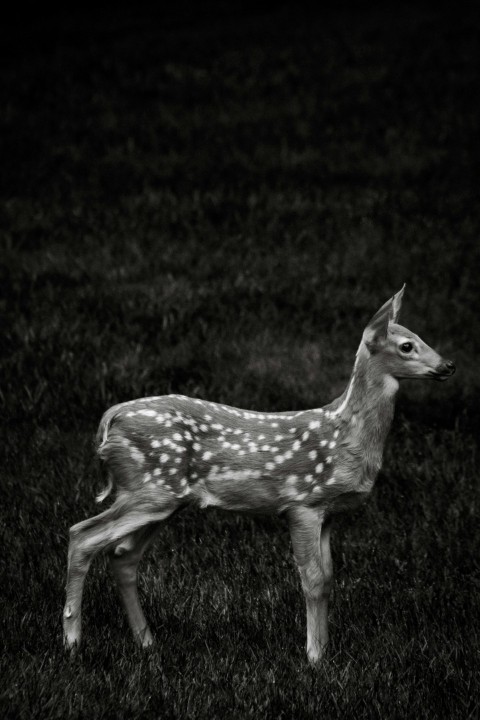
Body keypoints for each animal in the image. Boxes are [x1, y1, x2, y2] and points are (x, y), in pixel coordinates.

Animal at [62, 288, 454, 664]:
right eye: (406, 345)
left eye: (420, 336)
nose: (448, 365)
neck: (346, 435)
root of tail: (111, 419)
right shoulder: (303, 503)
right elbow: (312, 579)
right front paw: (314, 657)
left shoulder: (328, 513)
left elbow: (329, 578)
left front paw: (326, 650)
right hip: (149, 488)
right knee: (82, 535)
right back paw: (72, 642)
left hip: (163, 499)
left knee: (122, 554)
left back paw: (146, 642)